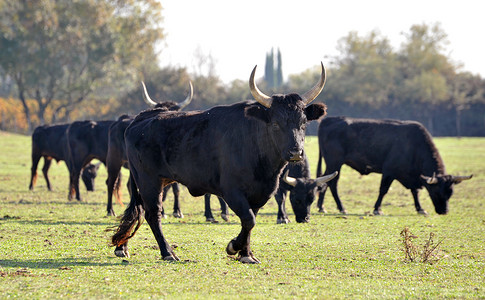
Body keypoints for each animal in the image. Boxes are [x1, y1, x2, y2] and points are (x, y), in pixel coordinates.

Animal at [105, 81, 192, 216]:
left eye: (175, 111)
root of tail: (119, 120)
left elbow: (175, 189)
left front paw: (177, 211)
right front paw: (163, 211)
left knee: (130, 185)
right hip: (114, 160)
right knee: (111, 183)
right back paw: (110, 210)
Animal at [316, 116, 470, 214]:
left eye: (450, 193)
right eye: (437, 192)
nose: (444, 211)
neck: (415, 145)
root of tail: (328, 120)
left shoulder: (412, 176)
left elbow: (415, 192)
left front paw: (420, 209)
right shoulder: (389, 171)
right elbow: (383, 190)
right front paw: (377, 209)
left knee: (326, 181)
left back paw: (322, 206)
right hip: (335, 163)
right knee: (330, 183)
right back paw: (339, 207)